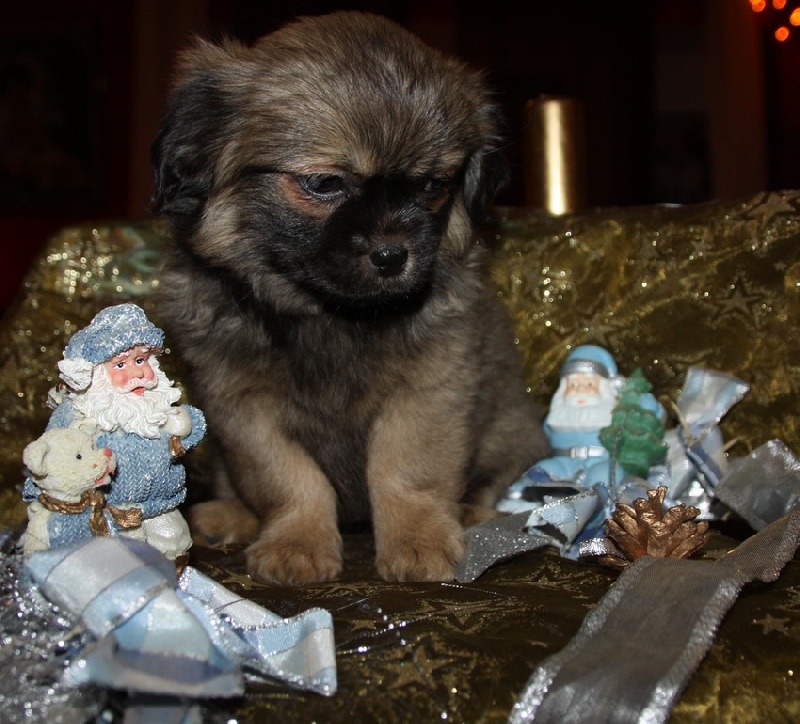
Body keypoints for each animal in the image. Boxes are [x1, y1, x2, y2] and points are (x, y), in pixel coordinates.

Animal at [151, 11, 548, 584]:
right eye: (324, 183)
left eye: (432, 186)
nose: (392, 254)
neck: (328, 314)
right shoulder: (245, 411)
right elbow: (291, 481)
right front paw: (296, 543)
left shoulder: (428, 393)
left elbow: (405, 472)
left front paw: (420, 540)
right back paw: (229, 516)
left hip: (509, 431)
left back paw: (473, 514)